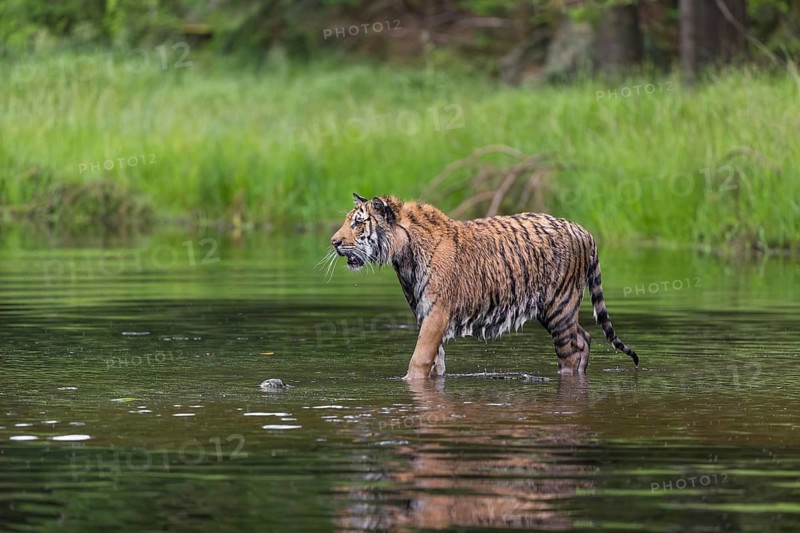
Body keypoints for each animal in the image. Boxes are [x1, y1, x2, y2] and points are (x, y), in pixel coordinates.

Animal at [330, 193, 639, 380]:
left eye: (358, 224)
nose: (334, 242)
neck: (403, 257)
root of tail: (583, 230)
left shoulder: (437, 314)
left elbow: (419, 360)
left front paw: (407, 381)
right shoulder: (424, 314)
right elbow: (436, 362)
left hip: (559, 305)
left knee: (572, 349)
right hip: (555, 308)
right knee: (584, 337)